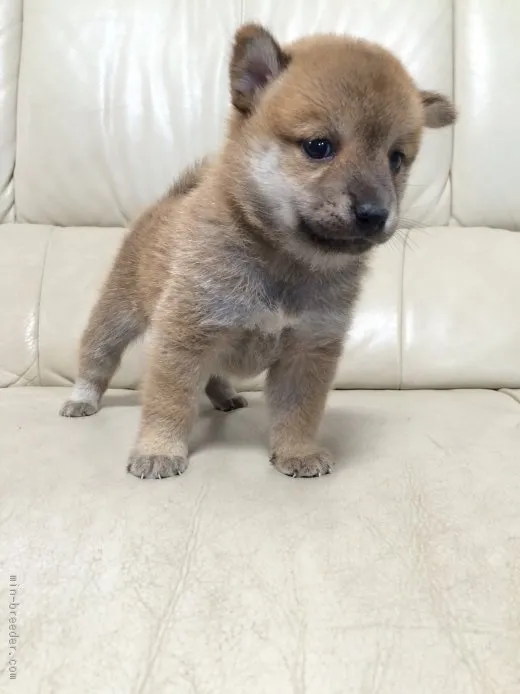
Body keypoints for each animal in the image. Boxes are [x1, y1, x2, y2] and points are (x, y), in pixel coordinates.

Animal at [61, 23, 456, 478]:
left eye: (396, 159)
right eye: (318, 146)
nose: (375, 213)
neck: (285, 262)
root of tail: (167, 202)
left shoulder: (308, 349)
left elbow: (299, 411)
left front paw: (296, 452)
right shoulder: (185, 335)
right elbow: (169, 402)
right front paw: (159, 449)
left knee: (214, 374)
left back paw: (225, 395)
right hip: (117, 316)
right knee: (97, 359)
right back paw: (82, 398)